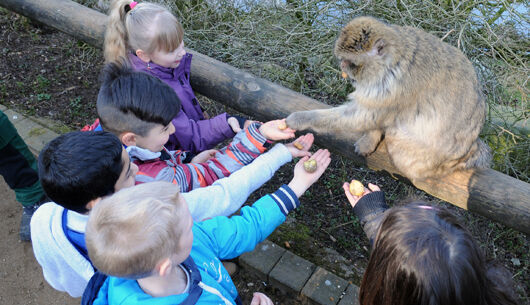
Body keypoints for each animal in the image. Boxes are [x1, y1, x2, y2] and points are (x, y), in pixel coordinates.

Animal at [286, 16, 488, 180]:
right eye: (342, 59)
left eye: (351, 62)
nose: (342, 65)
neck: (391, 62)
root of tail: (466, 152)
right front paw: (371, 137)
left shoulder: (395, 86)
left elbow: (364, 115)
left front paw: (302, 118)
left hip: (420, 159)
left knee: (396, 135)